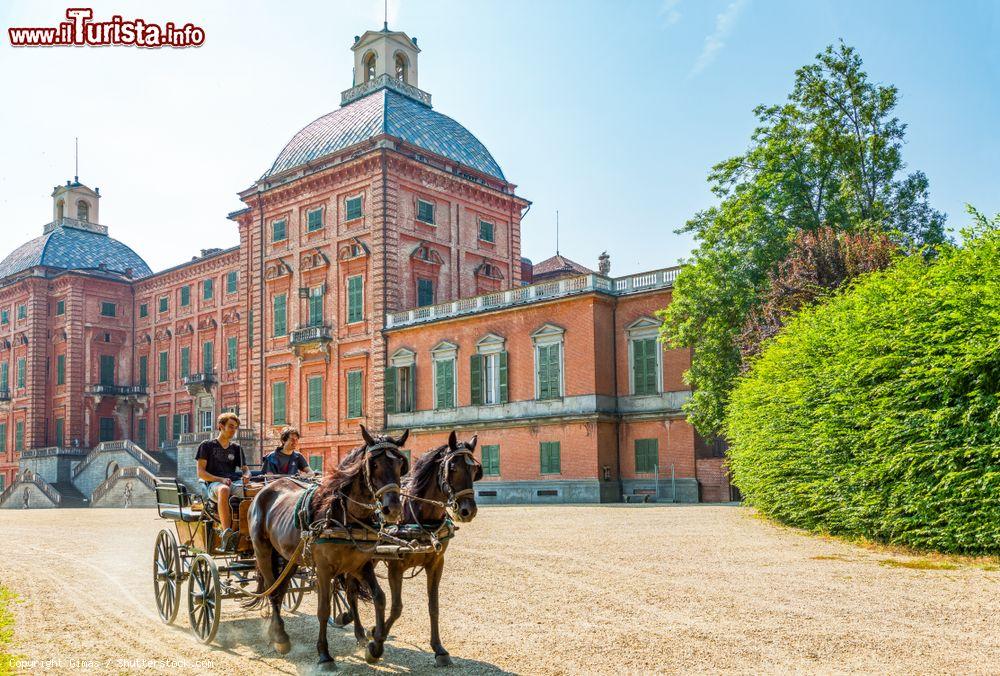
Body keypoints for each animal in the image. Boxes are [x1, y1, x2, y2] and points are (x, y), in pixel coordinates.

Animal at [247, 426, 410, 668]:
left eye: (400, 463)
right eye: (374, 464)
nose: (393, 509)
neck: (345, 515)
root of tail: (264, 491)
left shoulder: (361, 565)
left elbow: (379, 598)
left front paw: (375, 645)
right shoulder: (324, 569)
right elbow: (323, 609)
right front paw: (324, 654)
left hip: (290, 559)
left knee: (281, 589)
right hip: (264, 553)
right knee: (273, 591)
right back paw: (280, 638)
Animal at [352, 430, 480, 668]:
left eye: (476, 469)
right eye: (453, 468)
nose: (468, 510)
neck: (420, 516)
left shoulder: (436, 564)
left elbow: (433, 606)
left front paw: (439, 649)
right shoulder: (396, 566)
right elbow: (397, 607)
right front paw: (376, 641)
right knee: (350, 590)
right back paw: (359, 633)